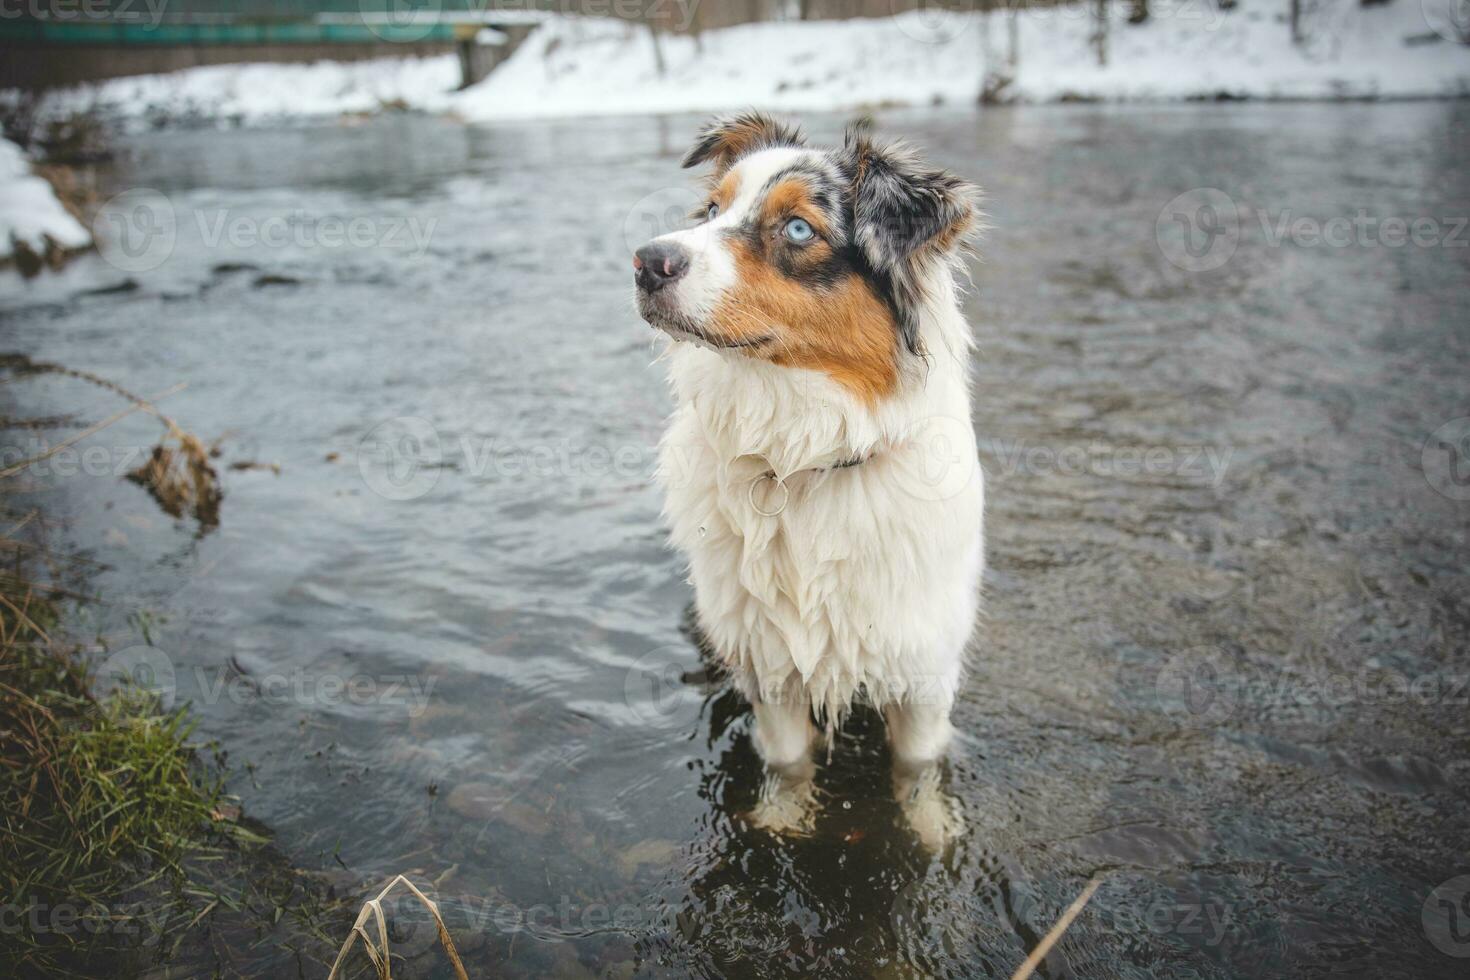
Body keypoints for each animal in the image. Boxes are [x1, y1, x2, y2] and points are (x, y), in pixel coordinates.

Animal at [635, 113, 987, 852]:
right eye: (713, 210)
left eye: (798, 228)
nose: (646, 261)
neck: (805, 456)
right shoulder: (767, 663)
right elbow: (789, 761)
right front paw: (782, 821)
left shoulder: (923, 665)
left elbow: (917, 767)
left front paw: (931, 831)